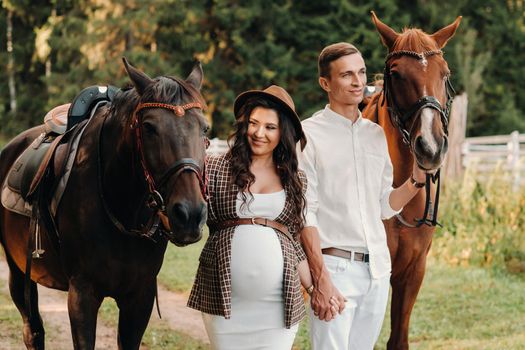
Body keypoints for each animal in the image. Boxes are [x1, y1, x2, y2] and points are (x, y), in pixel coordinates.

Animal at [0, 58, 209, 348]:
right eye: (149, 127)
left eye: (204, 128)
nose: (189, 214)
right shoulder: (82, 295)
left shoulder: (140, 297)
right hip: (18, 270)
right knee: (33, 331)